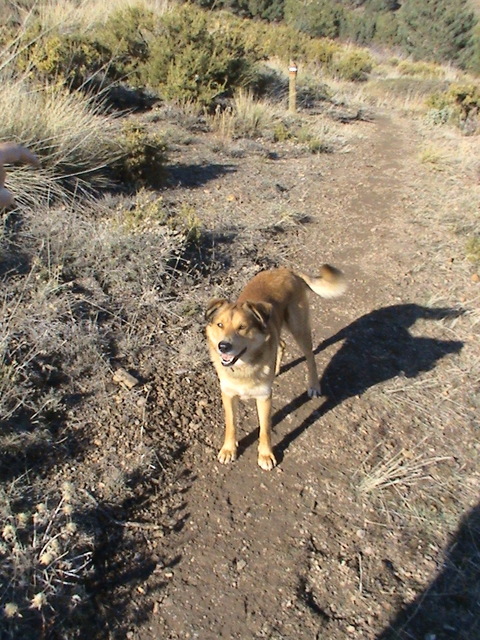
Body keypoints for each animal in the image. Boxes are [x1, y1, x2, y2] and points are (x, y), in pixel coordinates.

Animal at [205, 264, 344, 470]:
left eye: (242, 327)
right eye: (220, 325)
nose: (223, 346)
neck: (244, 366)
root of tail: (287, 270)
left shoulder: (264, 397)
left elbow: (265, 429)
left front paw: (265, 455)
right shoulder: (228, 395)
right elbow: (231, 425)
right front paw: (229, 449)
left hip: (299, 328)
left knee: (310, 356)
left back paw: (313, 385)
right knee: (282, 344)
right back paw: (276, 369)